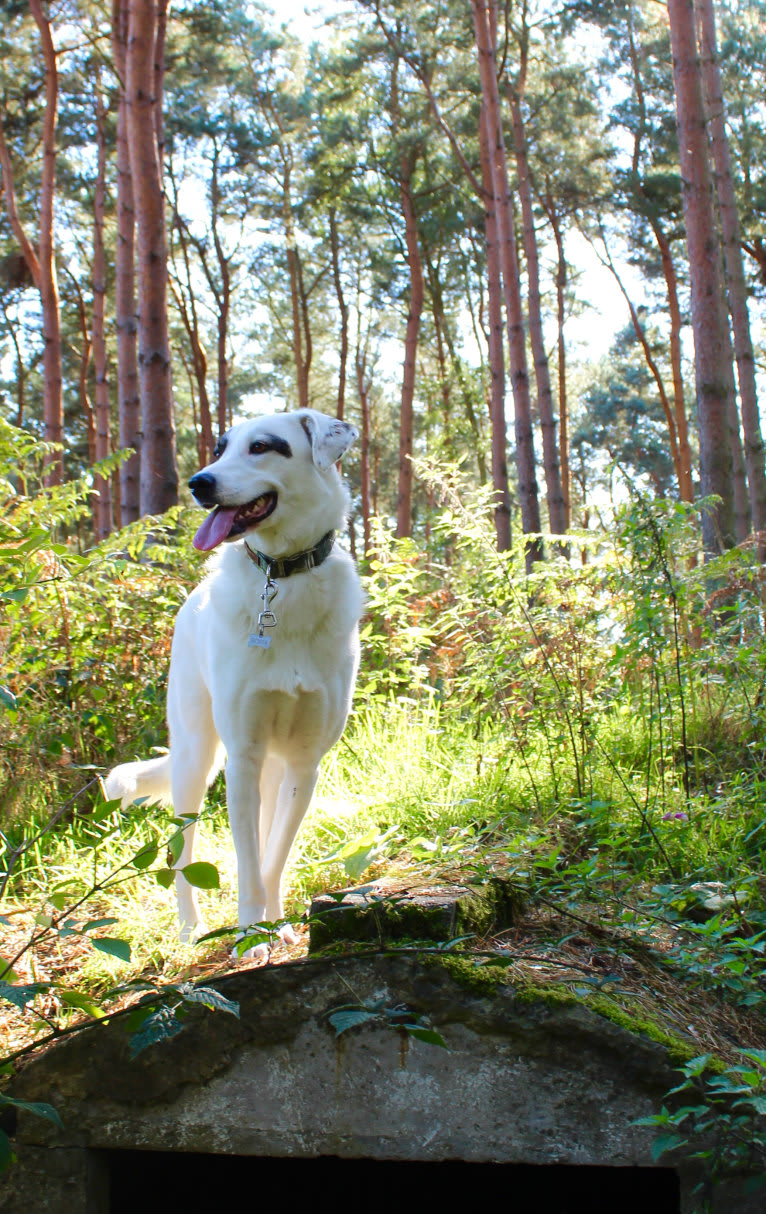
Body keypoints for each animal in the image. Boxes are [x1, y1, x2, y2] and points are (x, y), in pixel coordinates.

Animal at [105, 407, 366, 946]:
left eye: (263, 446)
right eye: (220, 448)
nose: (198, 482)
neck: (282, 575)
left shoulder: (303, 763)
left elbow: (272, 857)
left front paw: (275, 924)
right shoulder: (242, 756)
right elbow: (247, 862)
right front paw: (250, 934)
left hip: (270, 766)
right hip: (194, 759)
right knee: (181, 854)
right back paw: (190, 927)